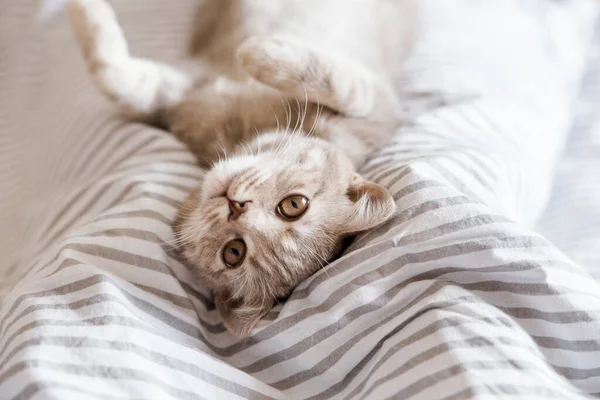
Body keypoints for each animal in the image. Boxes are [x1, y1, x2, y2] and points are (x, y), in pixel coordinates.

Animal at [68, 0, 414, 338]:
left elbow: (346, 86)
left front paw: (256, 52)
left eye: (234, 253)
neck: (244, 129)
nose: (237, 206)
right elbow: (119, 79)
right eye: (294, 205)